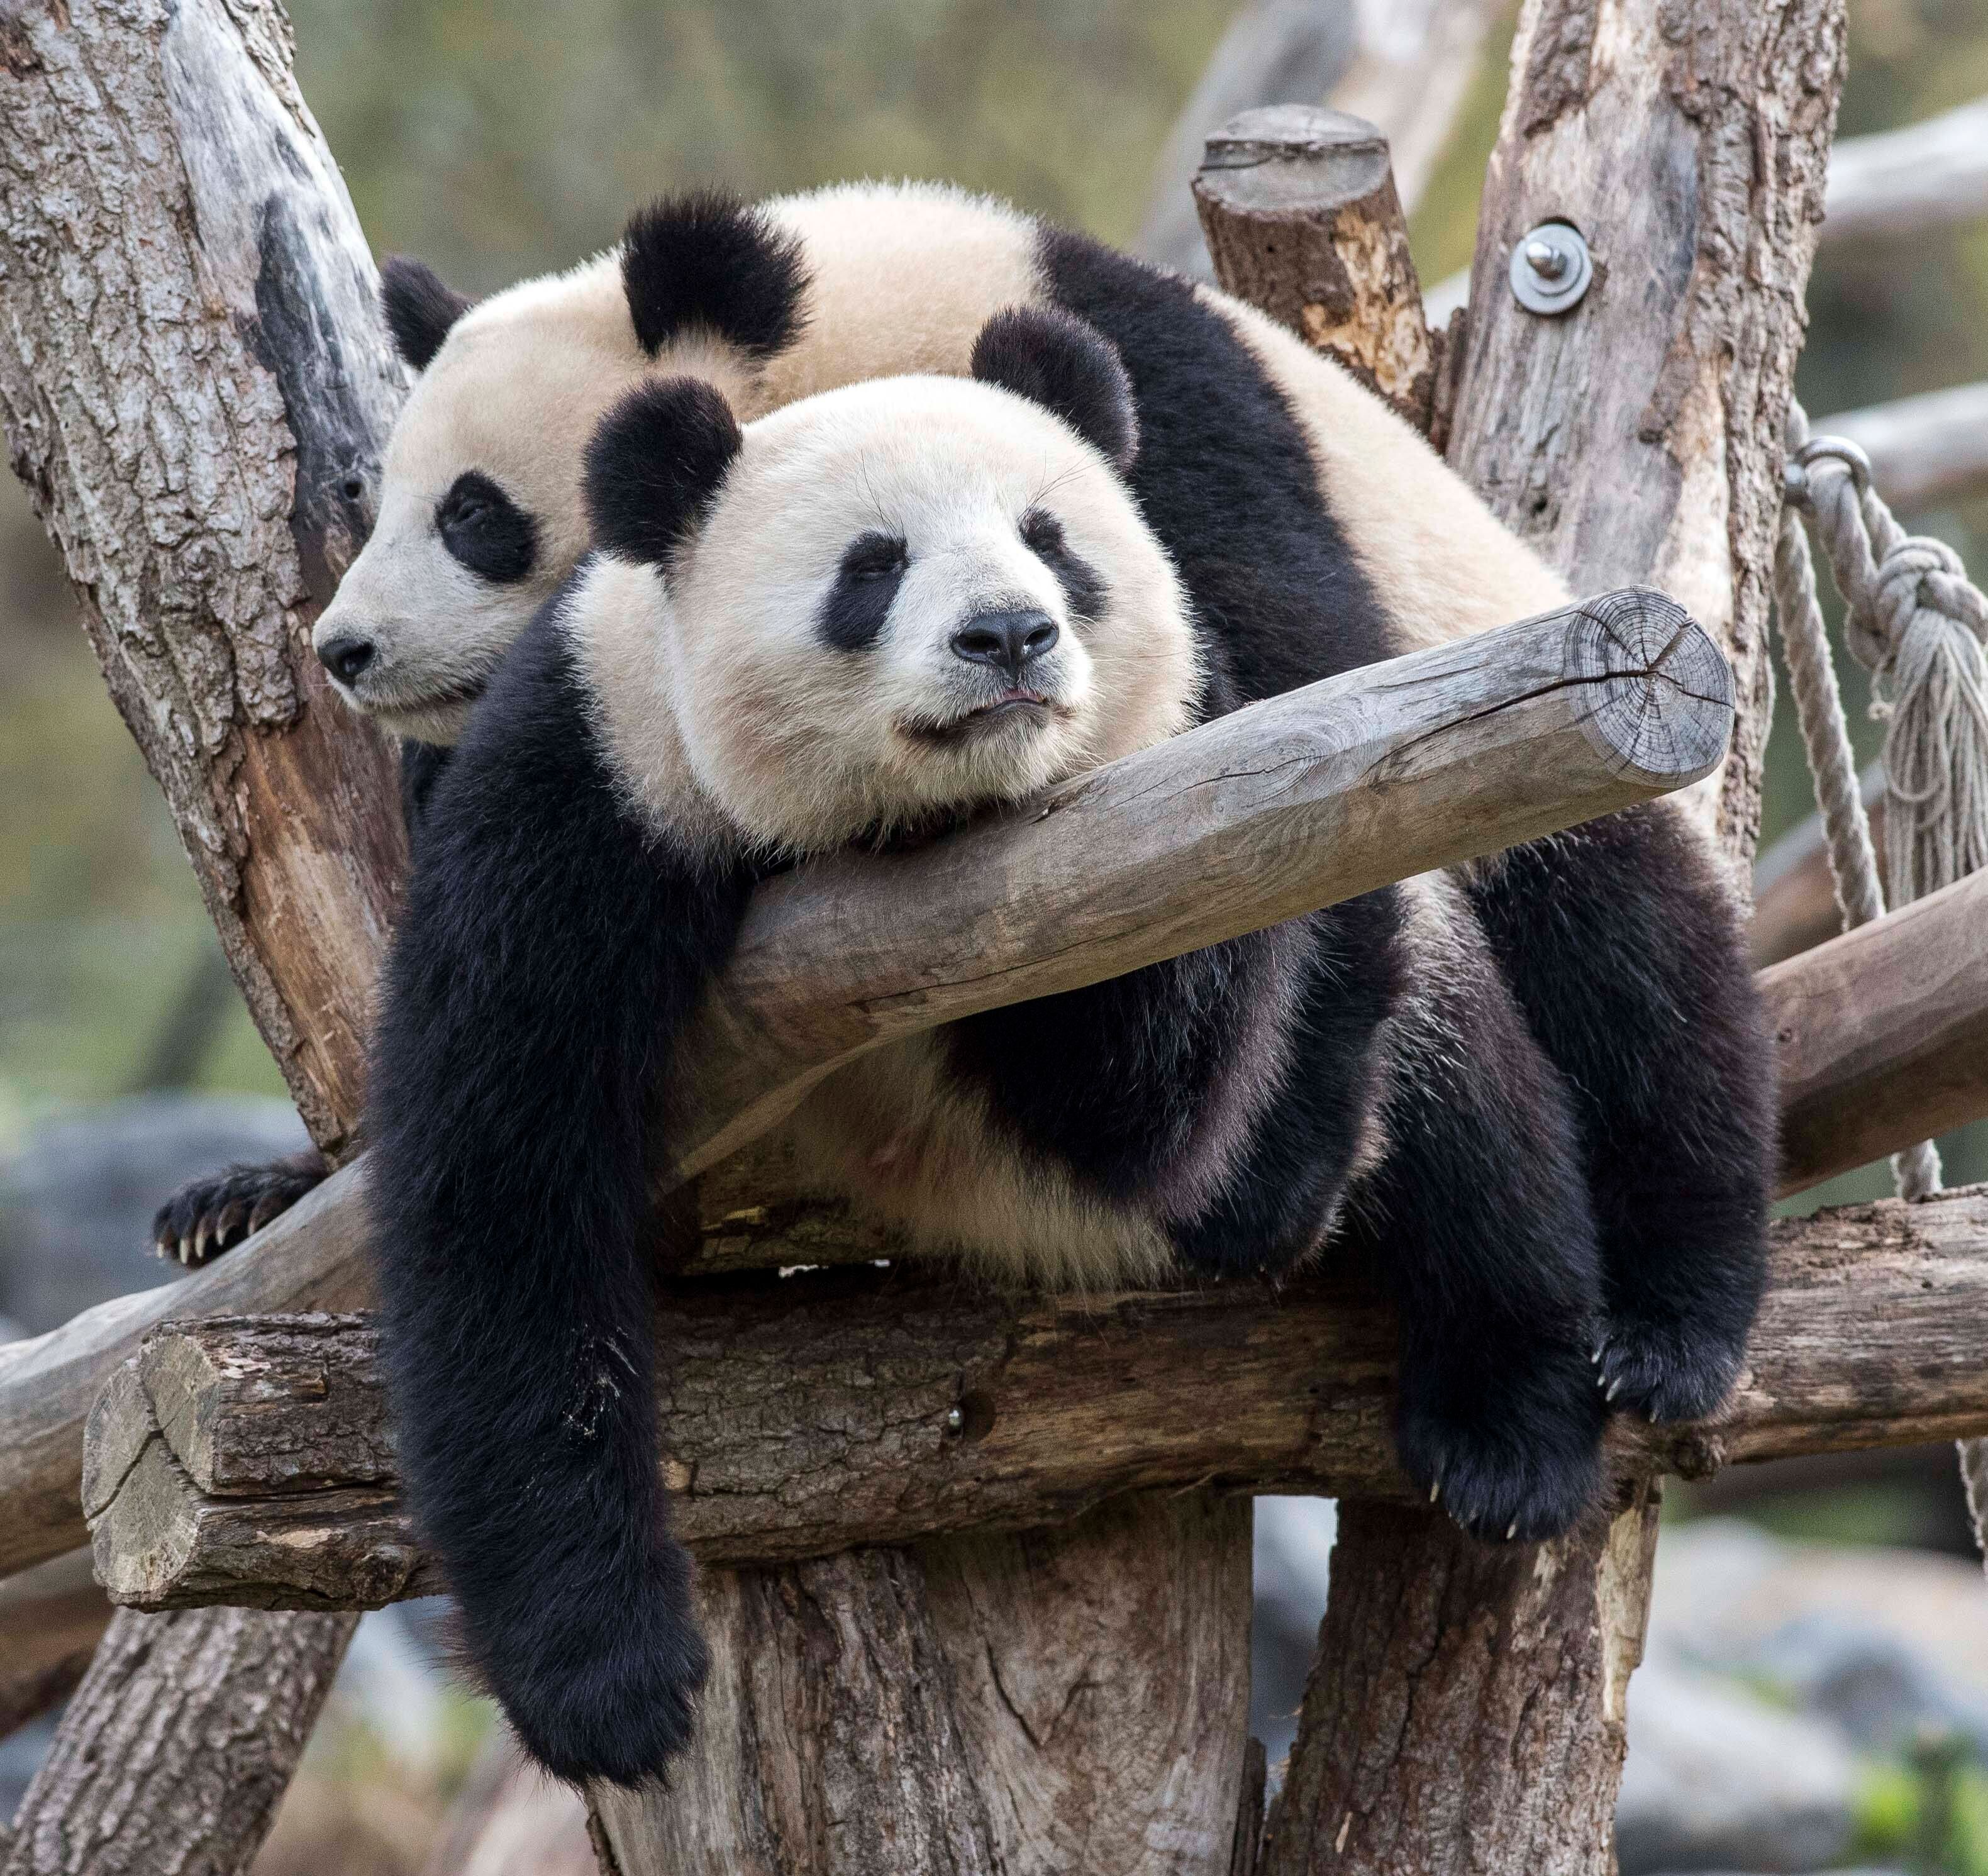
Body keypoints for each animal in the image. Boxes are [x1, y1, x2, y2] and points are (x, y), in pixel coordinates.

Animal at [371, 307, 1650, 1787]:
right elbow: (507, 1186)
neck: (909, 828)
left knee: (1452, 1112)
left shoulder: (1163, 788)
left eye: (1051, 538)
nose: (1009, 635)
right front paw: (608, 1688)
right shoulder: (595, 777)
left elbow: (1156, 1100)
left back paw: (1508, 1426)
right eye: (871, 567)